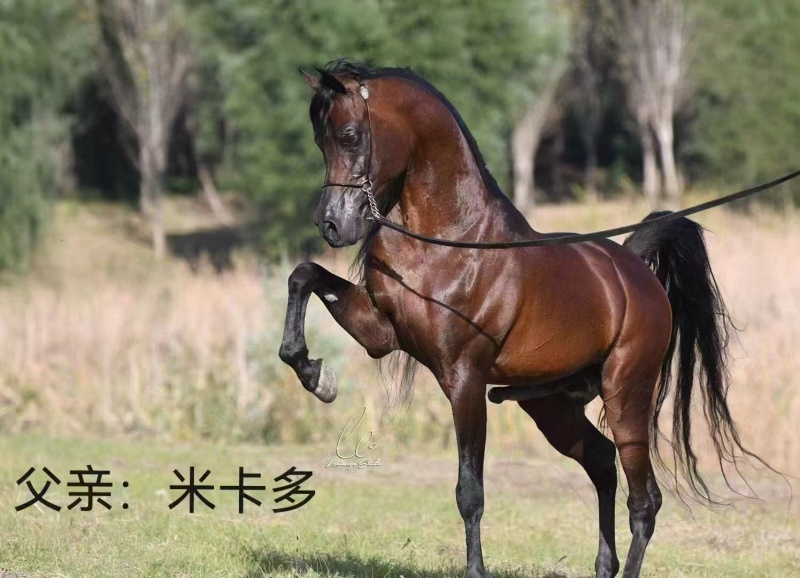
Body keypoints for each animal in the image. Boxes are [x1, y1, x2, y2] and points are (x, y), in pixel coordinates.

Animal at [279, 60, 761, 578]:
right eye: (319, 139)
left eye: (349, 136)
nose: (331, 225)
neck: (450, 241)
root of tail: (633, 270)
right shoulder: (380, 332)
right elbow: (303, 276)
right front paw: (316, 375)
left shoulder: (464, 380)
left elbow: (470, 492)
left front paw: (475, 571)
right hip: (551, 404)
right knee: (601, 460)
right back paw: (603, 564)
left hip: (626, 395)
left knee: (644, 501)